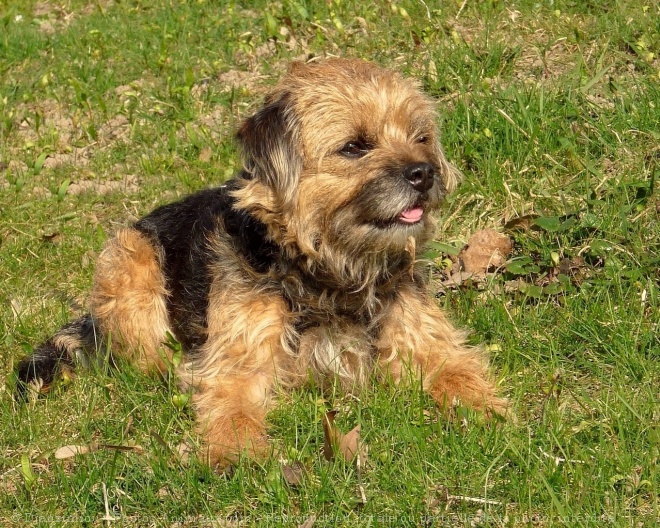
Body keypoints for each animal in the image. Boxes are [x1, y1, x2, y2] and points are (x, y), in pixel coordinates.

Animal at [16, 57, 510, 468]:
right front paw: (237, 453)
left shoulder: (427, 339)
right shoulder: (238, 357)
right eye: (354, 146)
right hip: (129, 258)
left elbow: (455, 369)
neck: (331, 270)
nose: (424, 173)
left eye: (421, 137)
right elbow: (233, 403)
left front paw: (489, 411)